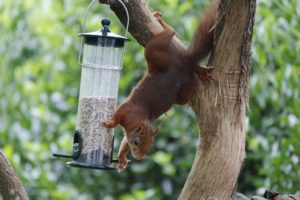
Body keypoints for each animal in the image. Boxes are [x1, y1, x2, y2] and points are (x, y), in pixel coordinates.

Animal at [102, 1, 217, 170]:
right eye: (137, 142)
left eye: (150, 146)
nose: (139, 157)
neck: (140, 118)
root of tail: (184, 63)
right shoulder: (127, 111)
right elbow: (119, 124)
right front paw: (112, 127)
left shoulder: (129, 119)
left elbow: (123, 135)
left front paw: (121, 152)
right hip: (162, 60)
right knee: (170, 37)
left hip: (165, 68)